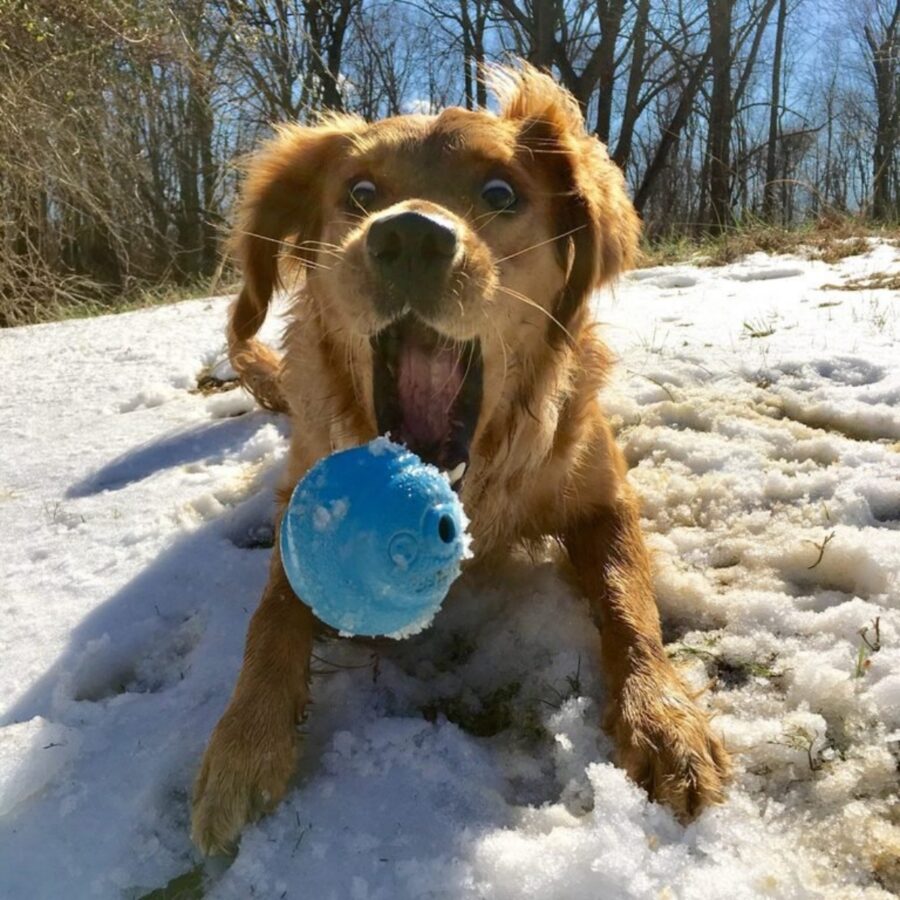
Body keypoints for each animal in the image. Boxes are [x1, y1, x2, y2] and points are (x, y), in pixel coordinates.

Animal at [192, 65, 732, 856]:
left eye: (501, 192)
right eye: (359, 191)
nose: (410, 235)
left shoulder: (604, 499)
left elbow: (630, 602)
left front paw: (663, 720)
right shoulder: (302, 503)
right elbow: (273, 617)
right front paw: (244, 742)